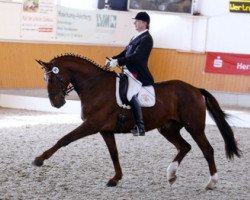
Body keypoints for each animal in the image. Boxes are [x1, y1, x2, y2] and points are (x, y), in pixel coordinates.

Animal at [33, 53, 240, 189]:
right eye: (44, 78)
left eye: (51, 78)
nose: (56, 103)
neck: (95, 86)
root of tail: (196, 89)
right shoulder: (105, 130)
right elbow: (114, 154)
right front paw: (116, 178)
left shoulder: (91, 125)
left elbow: (64, 139)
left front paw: (39, 159)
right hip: (168, 128)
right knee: (185, 147)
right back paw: (171, 174)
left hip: (194, 127)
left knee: (207, 150)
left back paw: (212, 182)